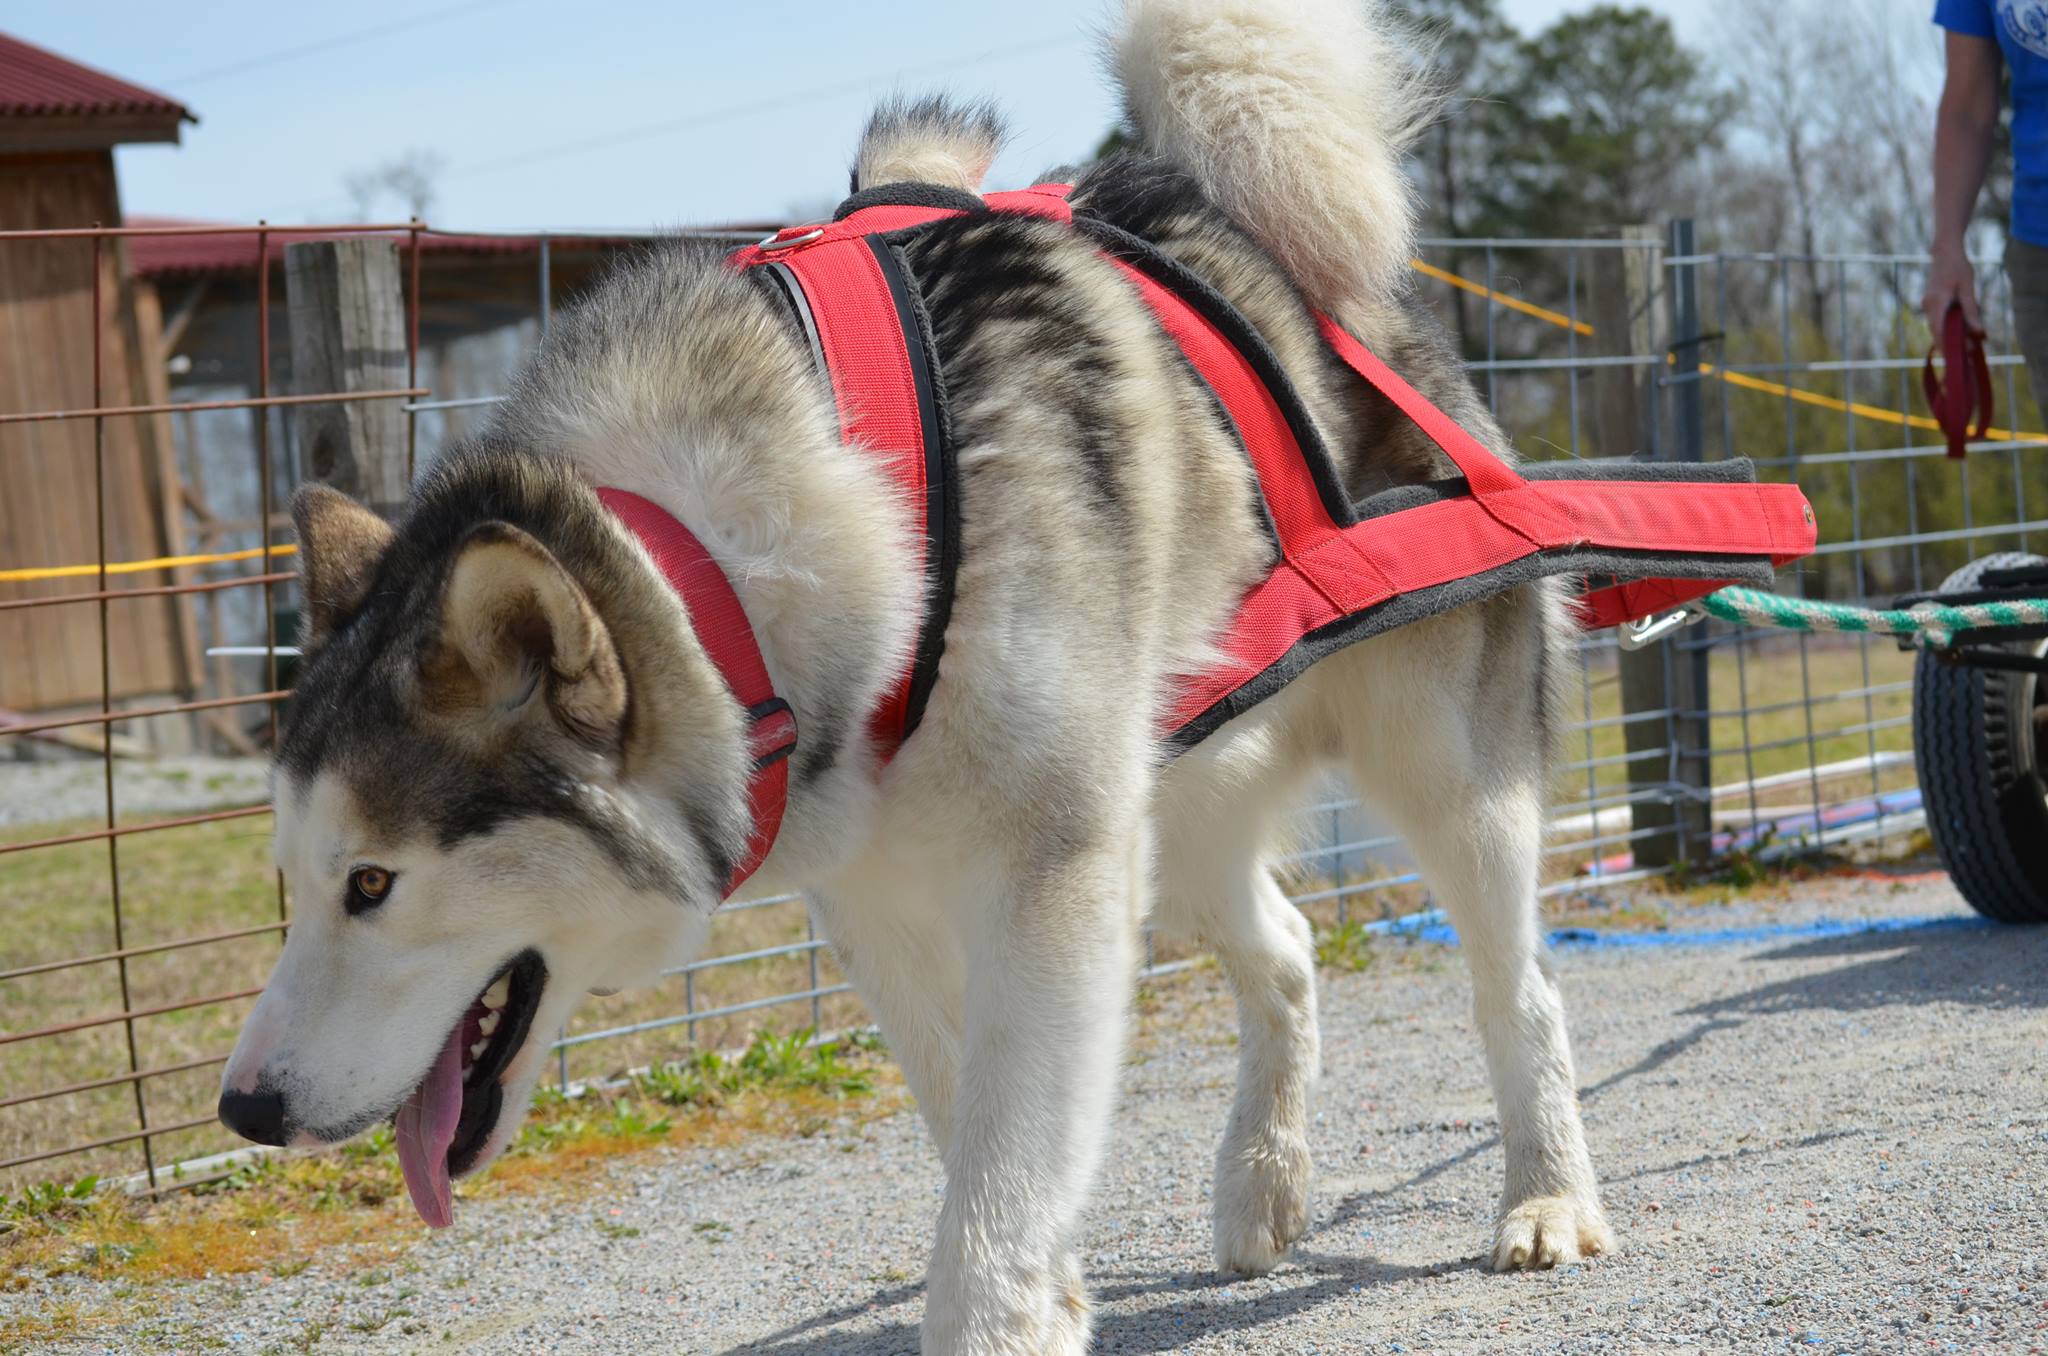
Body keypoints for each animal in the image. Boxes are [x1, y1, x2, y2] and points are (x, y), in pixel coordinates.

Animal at [220, 0, 1613, 1351]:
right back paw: (1260, 1187)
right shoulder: (877, 891)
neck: (730, 574)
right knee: (1283, 949)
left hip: (1442, 778)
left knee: (1521, 989)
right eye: (294, 877)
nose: (243, 1110)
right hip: (1172, 803)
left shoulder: (1049, 879)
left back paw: (1546, 1198)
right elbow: (973, 1128)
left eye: (372, 883)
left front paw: (1006, 1311)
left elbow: (1000, 1176)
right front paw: (1055, 1292)